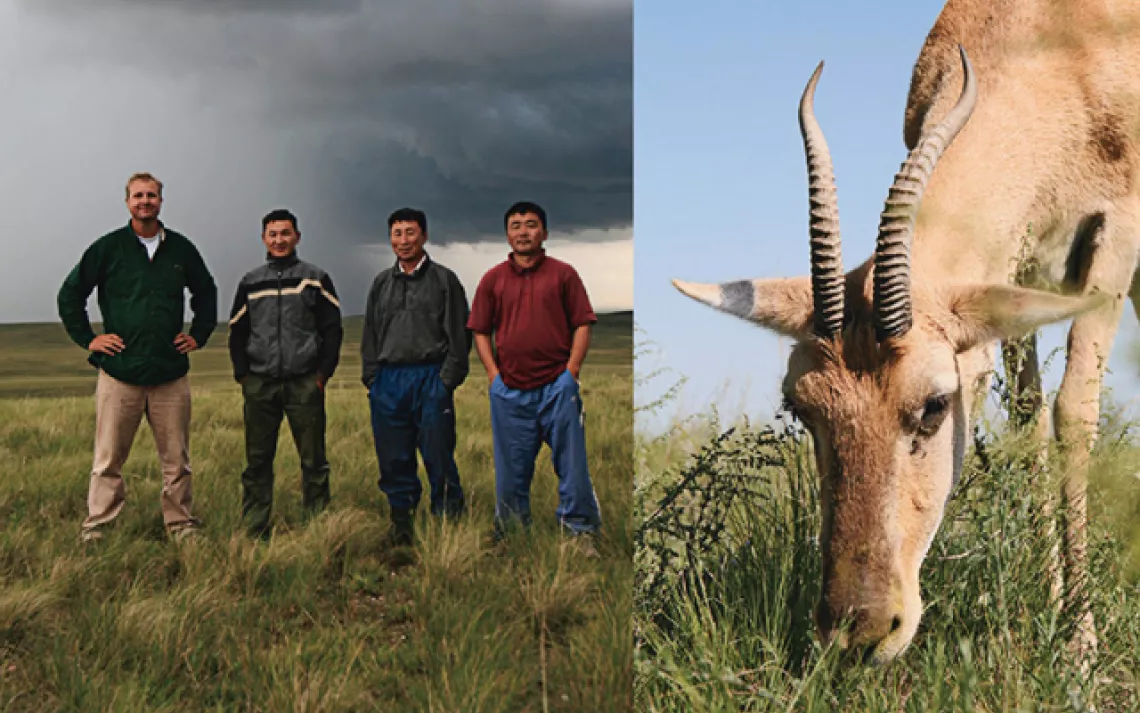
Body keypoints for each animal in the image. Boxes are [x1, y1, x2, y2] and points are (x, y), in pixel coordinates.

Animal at [673, 0, 1140, 664]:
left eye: (934, 405)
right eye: (801, 406)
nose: (859, 630)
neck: (1057, 39)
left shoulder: (1114, 243)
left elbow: (1074, 412)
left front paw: (1081, 645)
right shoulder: (1015, 273)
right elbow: (1028, 421)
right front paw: (1053, 611)